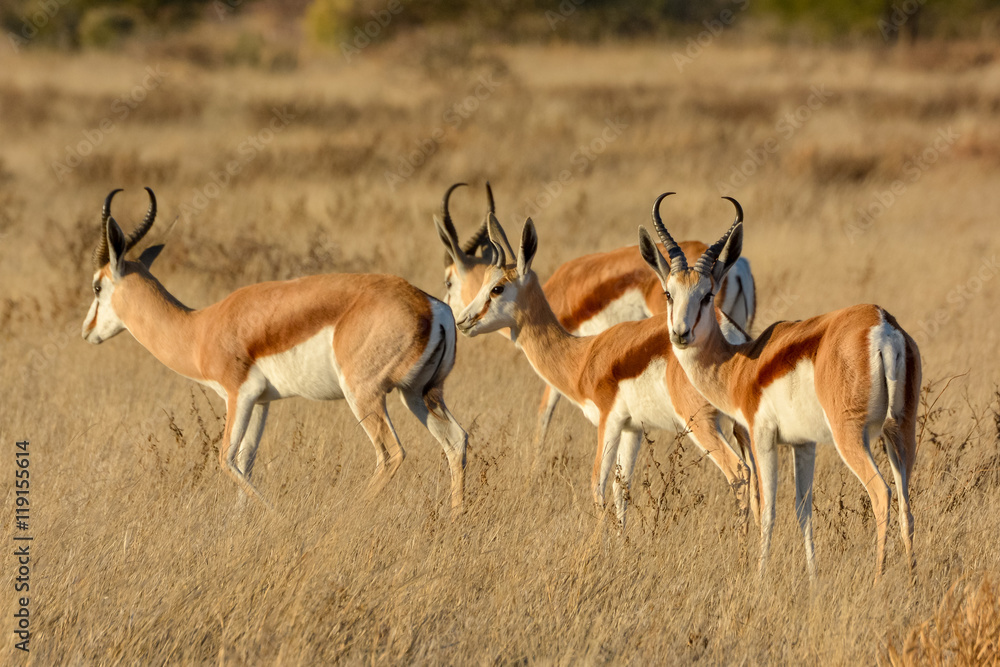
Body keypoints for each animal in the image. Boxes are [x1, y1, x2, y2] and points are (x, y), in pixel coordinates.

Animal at [83, 188, 468, 512]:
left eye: (97, 285)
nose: (87, 331)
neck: (200, 329)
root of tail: (431, 306)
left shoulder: (239, 395)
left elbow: (226, 458)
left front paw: (275, 516)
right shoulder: (261, 401)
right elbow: (245, 460)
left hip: (364, 394)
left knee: (391, 453)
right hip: (418, 393)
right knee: (456, 440)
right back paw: (456, 517)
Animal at [450, 214, 752, 528]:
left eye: (497, 288)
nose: (462, 321)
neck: (584, 356)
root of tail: (730, 336)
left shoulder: (609, 421)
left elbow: (598, 484)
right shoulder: (633, 428)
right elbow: (622, 488)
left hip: (702, 423)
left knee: (739, 472)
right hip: (743, 425)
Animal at [640, 194, 920, 584]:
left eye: (708, 294)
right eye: (669, 293)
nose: (680, 334)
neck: (740, 366)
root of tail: (882, 325)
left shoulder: (762, 437)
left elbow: (768, 509)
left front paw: (759, 578)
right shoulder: (804, 444)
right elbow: (803, 510)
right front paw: (813, 578)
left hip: (852, 436)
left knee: (882, 494)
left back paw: (879, 580)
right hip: (901, 432)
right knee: (908, 504)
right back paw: (911, 580)